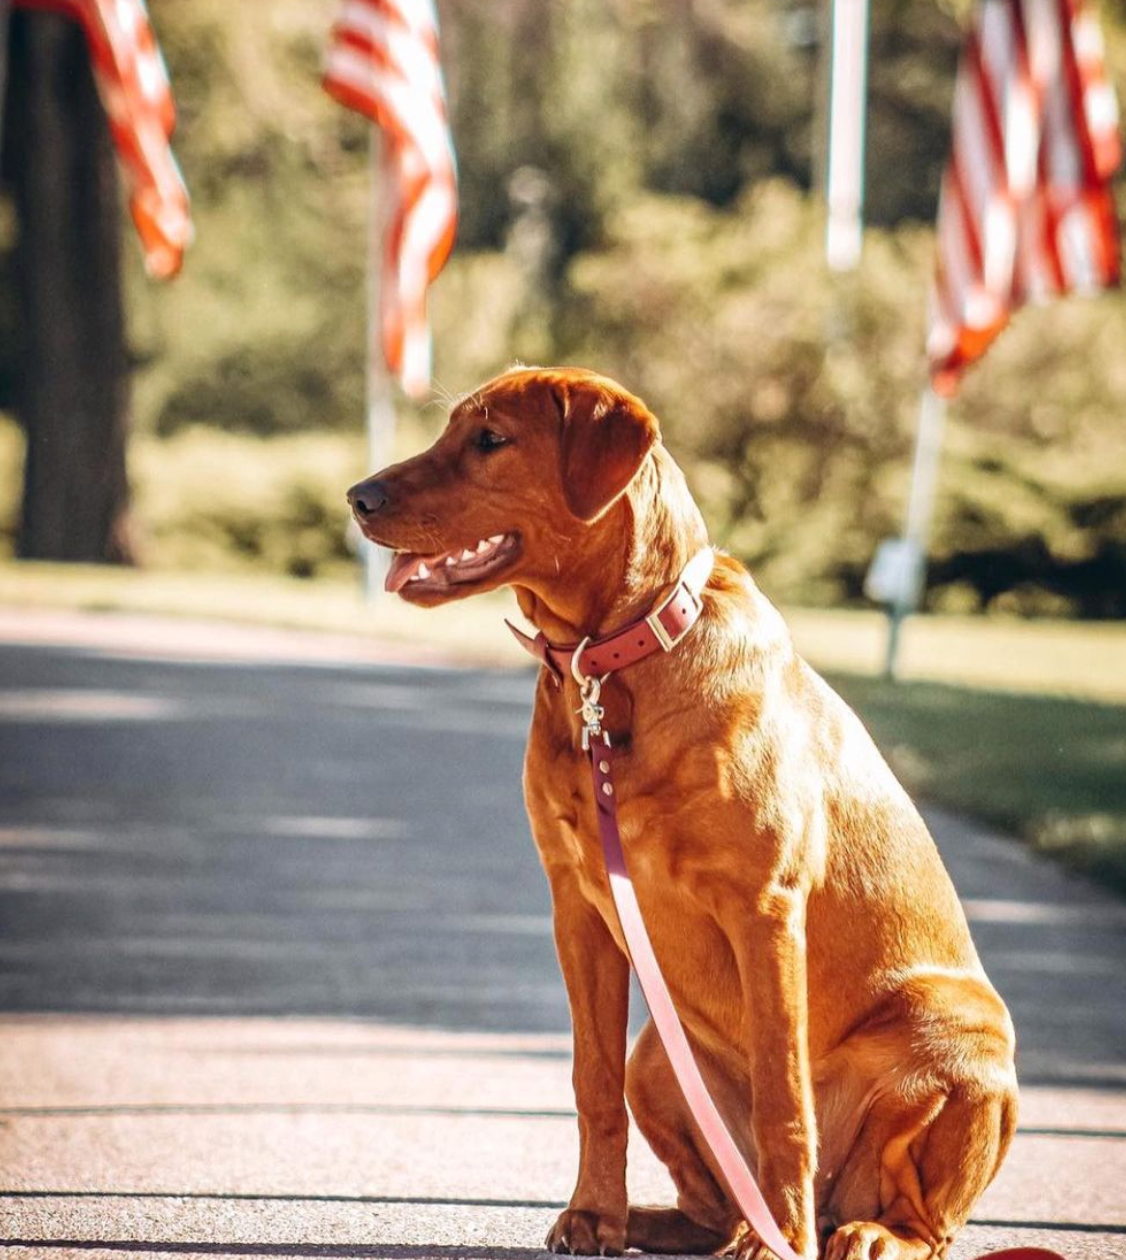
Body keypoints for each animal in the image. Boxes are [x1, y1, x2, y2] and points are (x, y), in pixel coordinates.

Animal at [347, 367, 1017, 1260]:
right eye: (450, 430)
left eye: (491, 440)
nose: (357, 496)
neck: (610, 662)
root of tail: (839, 1201)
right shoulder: (577, 906)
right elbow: (589, 1082)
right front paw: (593, 1215)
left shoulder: (765, 910)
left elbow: (784, 1102)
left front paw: (776, 1239)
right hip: (659, 1056)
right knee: (714, 1202)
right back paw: (659, 1221)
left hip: (959, 1039)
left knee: (924, 1223)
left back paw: (844, 1232)